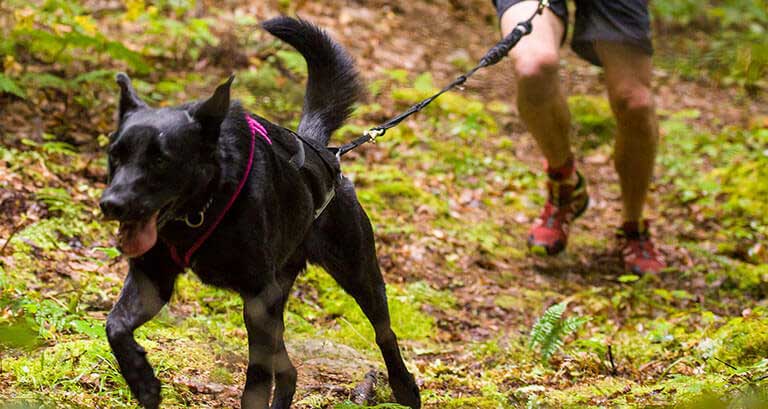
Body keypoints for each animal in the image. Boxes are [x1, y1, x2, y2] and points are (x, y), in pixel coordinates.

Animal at [100, 16, 424, 408]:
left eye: (160, 159)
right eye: (115, 155)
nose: (111, 204)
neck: (202, 209)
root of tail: (324, 153)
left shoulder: (256, 296)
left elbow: (255, 381)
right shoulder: (153, 279)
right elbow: (115, 326)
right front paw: (142, 380)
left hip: (357, 274)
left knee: (383, 332)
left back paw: (405, 387)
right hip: (275, 297)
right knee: (289, 369)